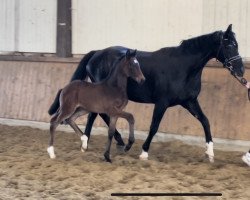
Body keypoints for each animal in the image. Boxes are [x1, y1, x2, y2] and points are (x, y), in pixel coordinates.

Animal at [49, 25, 244, 162]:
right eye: (229, 45)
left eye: (236, 45)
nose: (241, 70)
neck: (184, 67)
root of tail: (96, 53)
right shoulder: (162, 102)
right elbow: (154, 127)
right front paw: (143, 152)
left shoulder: (189, 101)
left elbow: (205, 121)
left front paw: (210, 152)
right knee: (96, 115)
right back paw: (104, 142)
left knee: (94, 115)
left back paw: (89, 142)